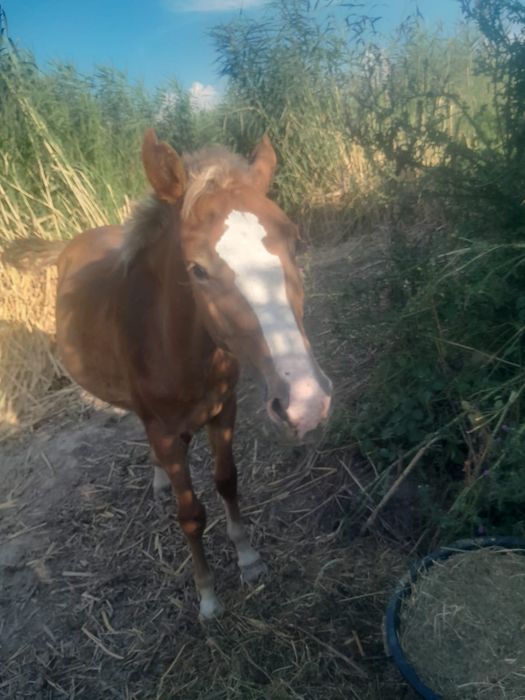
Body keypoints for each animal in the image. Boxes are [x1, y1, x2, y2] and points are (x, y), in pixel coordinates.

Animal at [7, 129, 332, 618]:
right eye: (196, 269)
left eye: (294, 243)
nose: (306, 401)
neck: (173, 346)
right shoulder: (161, 429)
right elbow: (191, 513)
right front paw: (208, 597)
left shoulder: (224, 412)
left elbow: (227, 481)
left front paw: (249, 559)